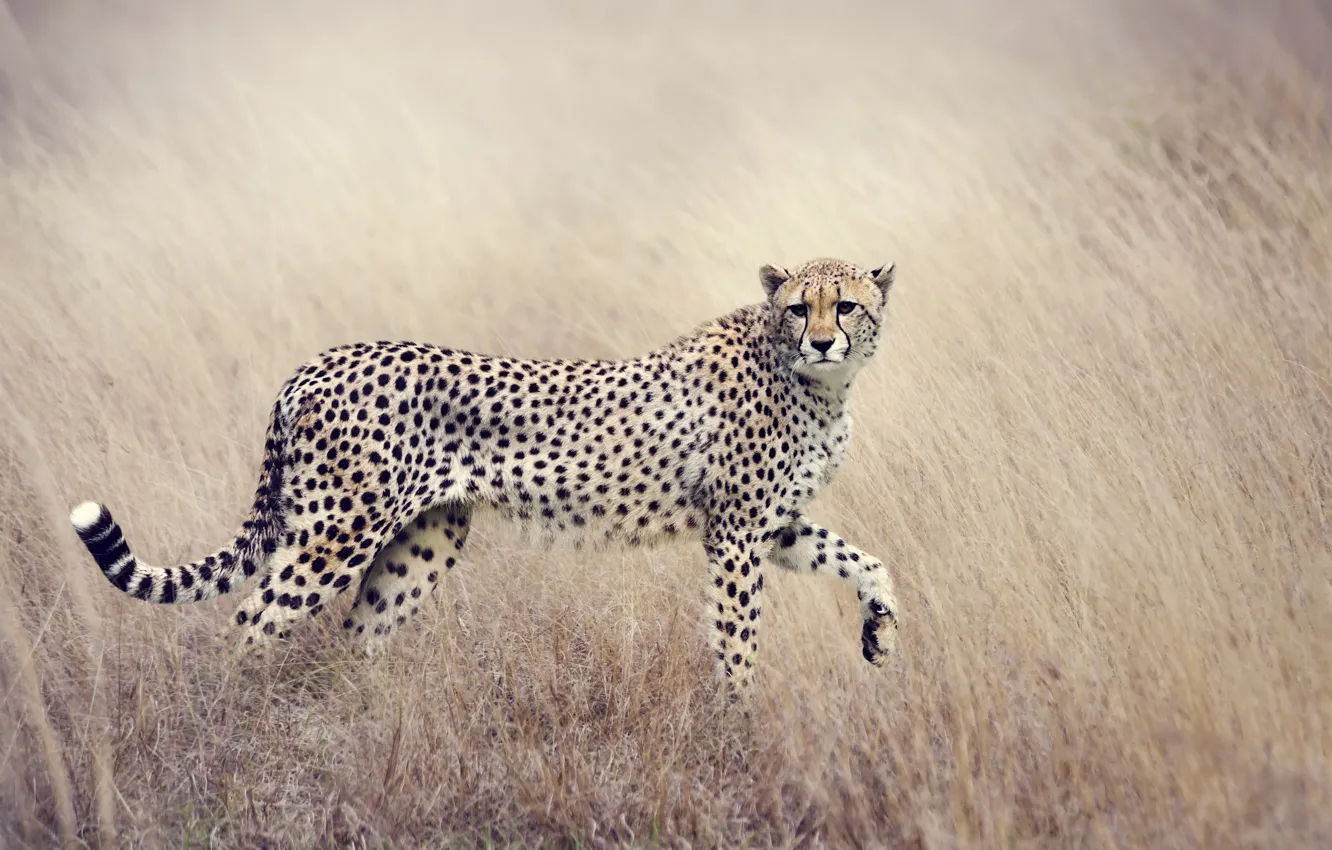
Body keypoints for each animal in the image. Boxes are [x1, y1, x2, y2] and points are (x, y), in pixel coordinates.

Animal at [70, 255, 905, 698]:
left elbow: (866, 561)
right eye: (799, 308)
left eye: (847, 306)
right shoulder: (735, 534)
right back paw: (234, 721)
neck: (818, 385)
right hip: (335, 535)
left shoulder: (774, 526)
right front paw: (738, 724)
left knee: (357, 634)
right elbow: (738, 637)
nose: (824, 341)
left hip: (423, 542)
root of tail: (317, 363)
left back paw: (365, 724)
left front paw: (880, 632)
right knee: (249, 620)